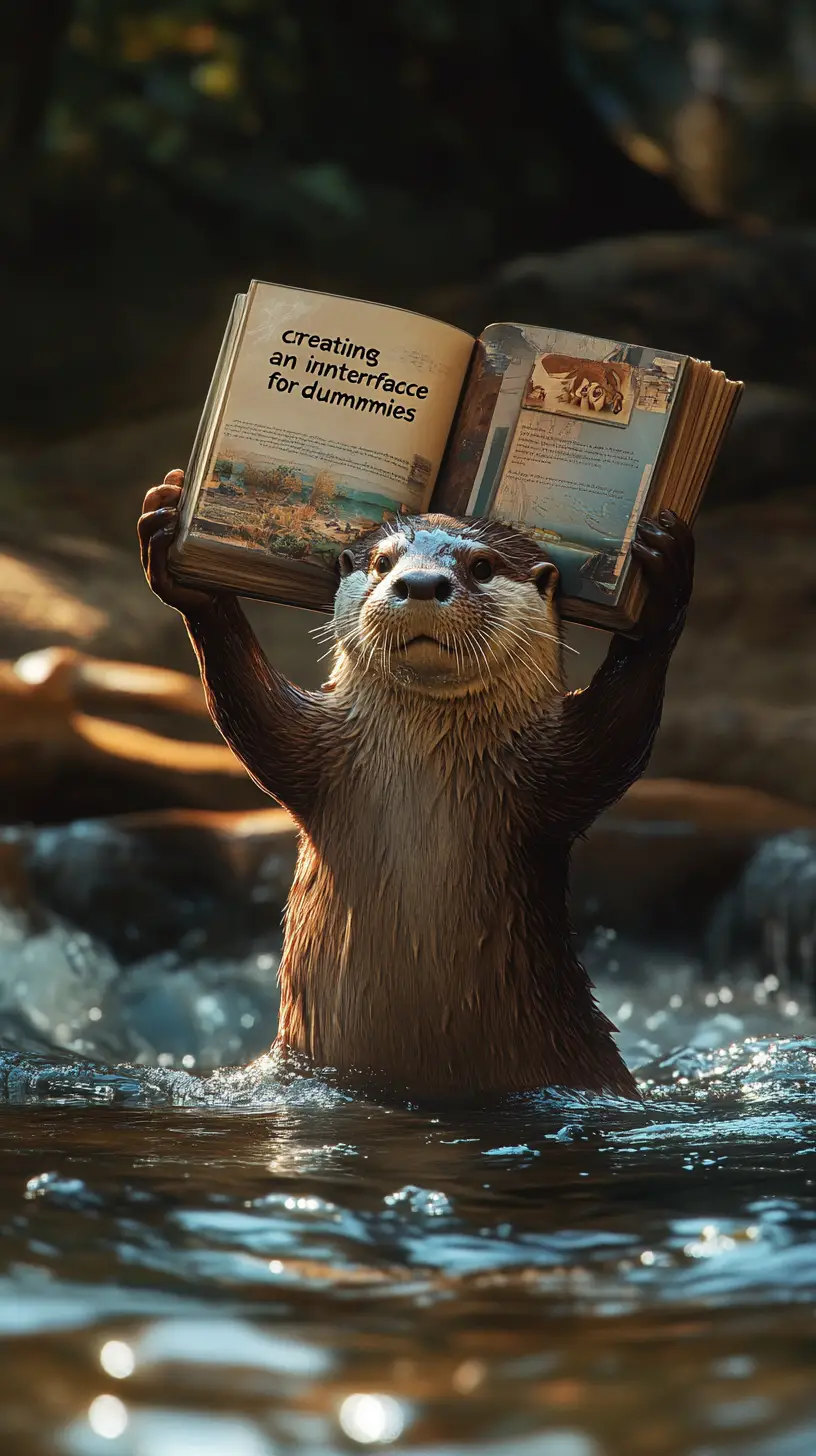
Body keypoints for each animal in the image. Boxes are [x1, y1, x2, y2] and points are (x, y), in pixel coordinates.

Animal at [138, 470, 694, 1100]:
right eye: (382, 562)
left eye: (482, 566)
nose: (422, 582)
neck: (424, 760)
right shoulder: (316, 753)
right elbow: (252, 716)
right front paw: (173, 533)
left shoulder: (553, 770)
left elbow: (617, 740)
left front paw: (662, 584)